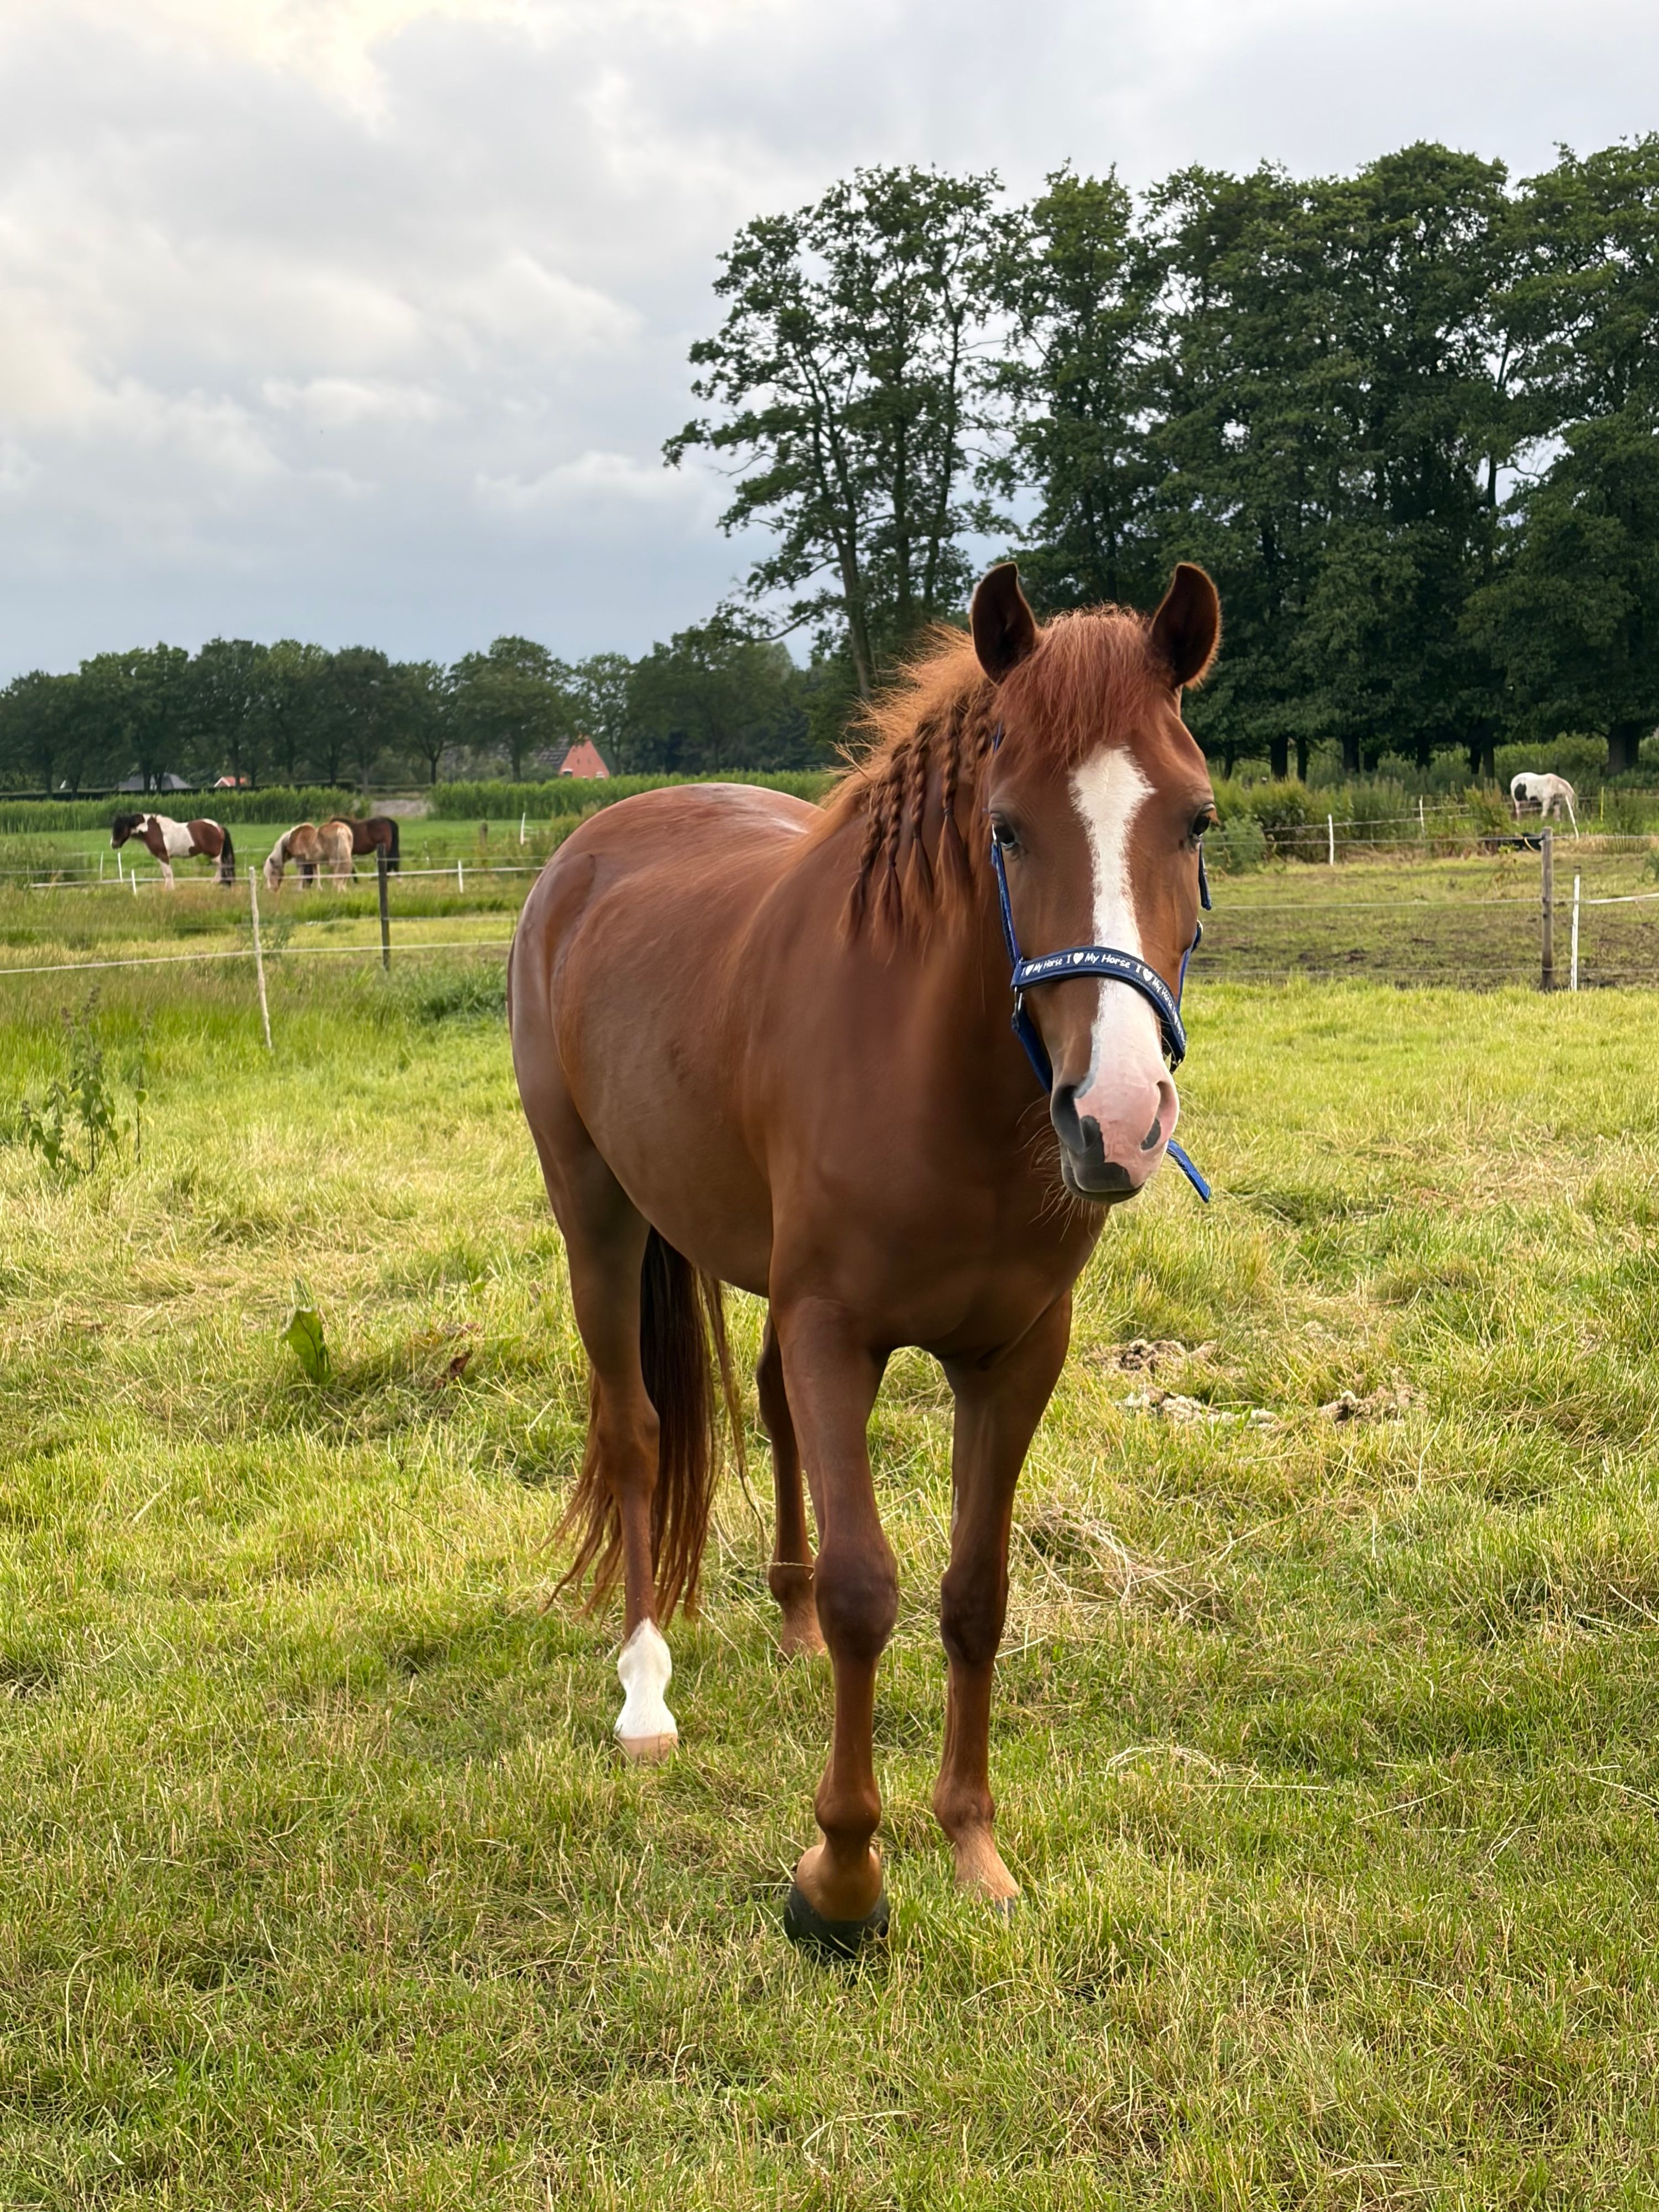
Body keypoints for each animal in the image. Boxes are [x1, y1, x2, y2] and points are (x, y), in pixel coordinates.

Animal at [110, 811, 235, 887]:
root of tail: (219, 827)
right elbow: (167, 873)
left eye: (122, 828)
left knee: (223, 866)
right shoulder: (160, 857)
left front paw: (169, 890)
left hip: (214, 855)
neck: (154, 830)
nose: (113, 844)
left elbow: (168, 873)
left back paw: (216, 883)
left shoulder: (163, 856)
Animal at [263, 819, 354, 892]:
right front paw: (319, 889)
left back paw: (337, 888)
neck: (291, 839)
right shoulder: (314, 862)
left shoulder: (300, 860)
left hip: (336, 860)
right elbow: (317, 875)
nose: (272, 889)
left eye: (273, 872)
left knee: (339, 872)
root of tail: (341, 829)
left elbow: (300, 876)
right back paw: (342, 888)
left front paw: (299, 890)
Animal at [508, 559, 1221, 1955]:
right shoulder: (839, 1326)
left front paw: (974, 1847)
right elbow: (864, 1590)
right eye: (1006, 828)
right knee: (637, 1431)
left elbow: (974, 1591)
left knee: (767, 1414)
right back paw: (644, 1695)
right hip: (598, 1217)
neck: (941, 1075)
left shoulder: (1014, 1352)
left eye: (1196, 820)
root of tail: (591, 846)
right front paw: (840, 1879)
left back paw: (775, 1624)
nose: (1116, 1117)